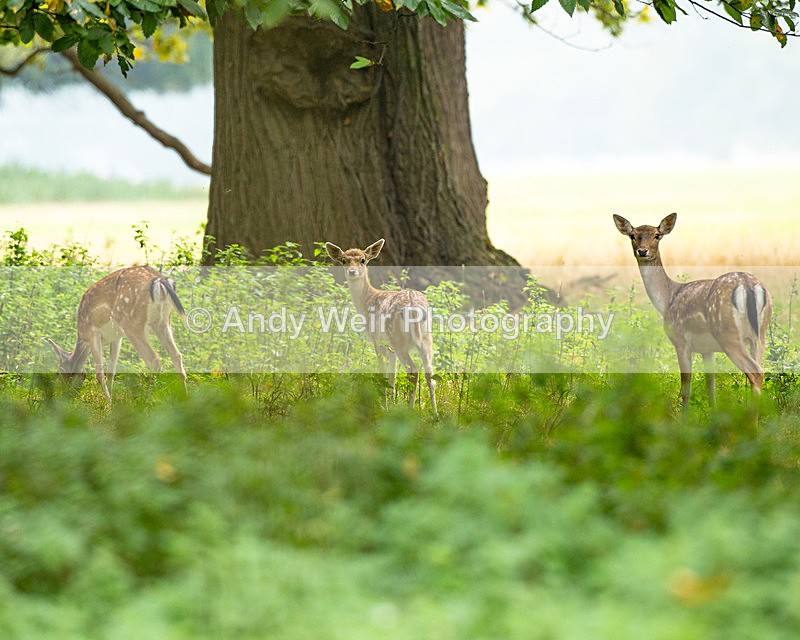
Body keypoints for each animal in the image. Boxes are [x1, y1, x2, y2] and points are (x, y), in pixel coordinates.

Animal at [46, 265, 187, 401]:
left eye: (59, 372)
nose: (63, 395)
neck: (82, 336)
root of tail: (159, 280)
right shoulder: (117, 337)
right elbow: (111, 371)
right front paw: (112, 401)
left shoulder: (93, 333)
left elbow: (99, 373)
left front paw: (107, 403)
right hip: (163, 321)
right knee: (177, 355)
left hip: (131, 323)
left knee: (153, 359)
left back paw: (147, 400)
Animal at [325, 239, 437, 417]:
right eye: (343, 260)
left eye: (363, 260)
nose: (352, 271)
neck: (366, 301)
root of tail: (414, 305)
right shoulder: (390, 348)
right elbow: (392, 376)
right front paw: (391, 405)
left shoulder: (378, 341)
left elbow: (382, 374)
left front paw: (383, 408)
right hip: (427, 337)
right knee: (430, 374)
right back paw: (436, 414)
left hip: (398, 339)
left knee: (413, 371)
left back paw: (410, 411)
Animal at [613, 212, 771, 411]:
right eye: (632, 235)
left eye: (657, 235)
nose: (642, 251)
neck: (667, 300)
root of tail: (748, 286)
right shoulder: (707, 349)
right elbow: (710, 388)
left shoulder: (680, 341)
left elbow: (685, 390)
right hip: (760, 334)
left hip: (728, 334)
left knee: (756, 372)